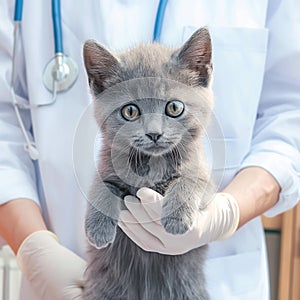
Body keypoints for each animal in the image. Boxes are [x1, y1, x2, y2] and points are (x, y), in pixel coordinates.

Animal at [83, 28, 214, 300]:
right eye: (130, 111)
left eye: (174, 107)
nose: (154, 133)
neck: (152, 165)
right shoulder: (106, 165)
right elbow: (100, 186)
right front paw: (98, 229)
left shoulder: (206, 178)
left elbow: (189, 180)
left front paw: (176, 218)